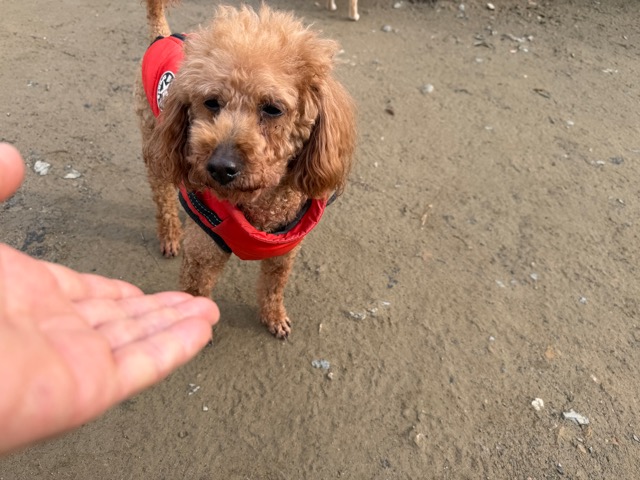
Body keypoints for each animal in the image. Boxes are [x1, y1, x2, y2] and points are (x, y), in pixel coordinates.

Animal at [135, 0, 356, 338]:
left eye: (273, 109)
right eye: (211, 102)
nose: (220, 167)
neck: (260, 205)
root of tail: (164, 35)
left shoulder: (283, 254)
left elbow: (273, 287)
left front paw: (274, 317)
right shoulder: (202, 253)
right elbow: (195, 295)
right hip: (154, 139)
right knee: (163, 196)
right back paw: (170, 235)